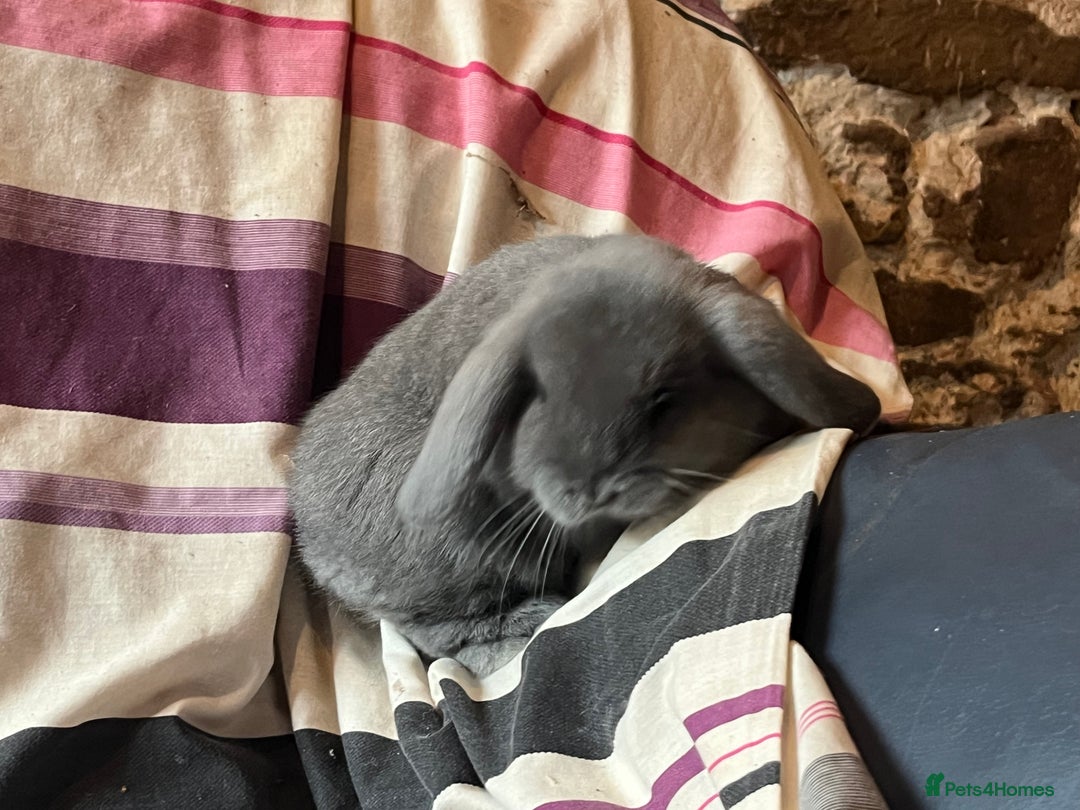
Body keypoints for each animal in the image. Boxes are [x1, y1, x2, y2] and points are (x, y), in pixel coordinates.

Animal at [288, 234, 881, 675]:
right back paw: (528, 626)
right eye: (538, 394)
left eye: (663, 399)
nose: (589, 491)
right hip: (462, 557)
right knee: (439, 635)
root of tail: (308, 538)